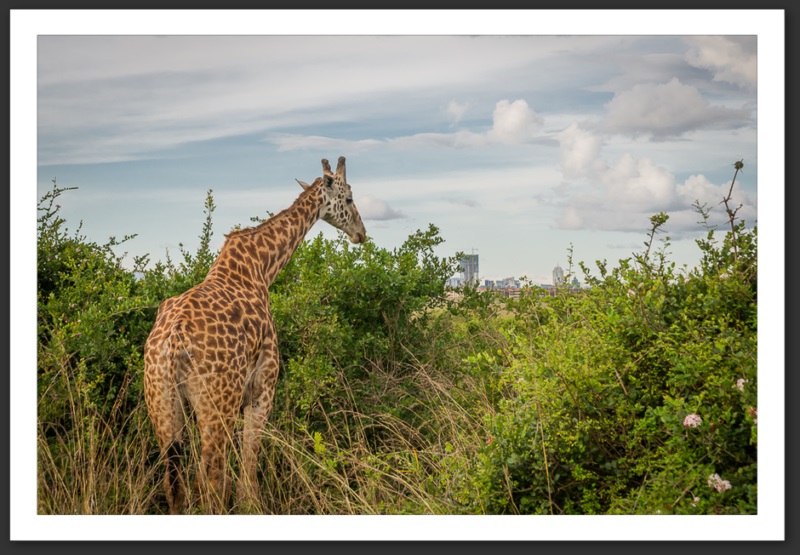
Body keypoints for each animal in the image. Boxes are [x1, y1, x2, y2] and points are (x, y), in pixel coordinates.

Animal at [143, 156, 366, 514]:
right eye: (348, 199)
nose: (361, 233)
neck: (262, 266)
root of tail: (174, 343)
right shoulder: (263, 386)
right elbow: (250, 463)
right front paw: (254, 506)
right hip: (217, 404)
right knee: (211, 479)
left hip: (161, 403)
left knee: (174, 483)